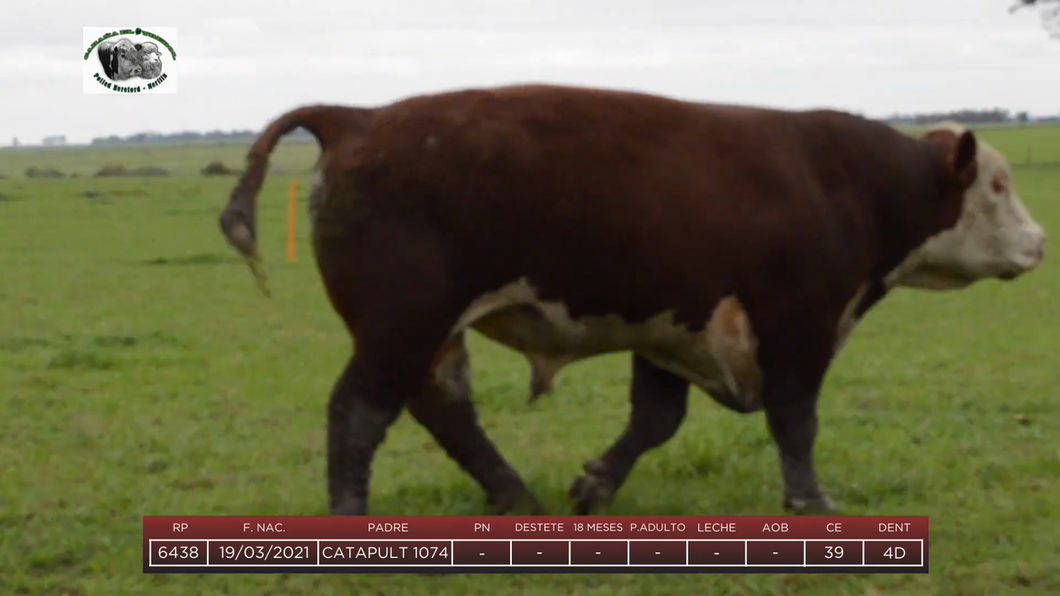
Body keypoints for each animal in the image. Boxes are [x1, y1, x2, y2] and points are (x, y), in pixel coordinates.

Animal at [215, 83, 1043, 515]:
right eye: (999, 186)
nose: (1038, 243)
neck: (843, 181)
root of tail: (358, 117)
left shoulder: (674, 326)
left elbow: (655, 420)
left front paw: (594, 484)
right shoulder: (798, 325)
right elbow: (795, 420)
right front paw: (809, 502)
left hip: (427, 332)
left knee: (443, 408)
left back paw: (516, 497)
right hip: (401, 323)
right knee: (360, 410)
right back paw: (352, 516)